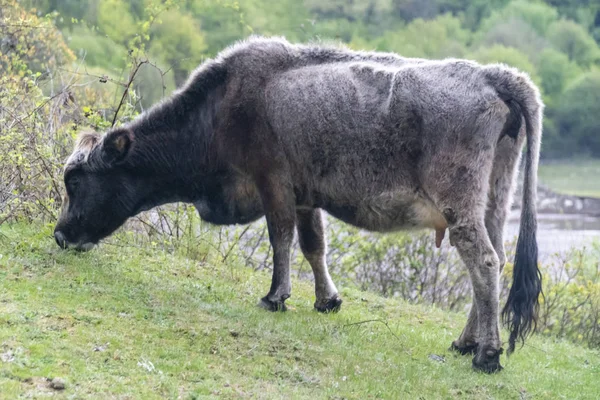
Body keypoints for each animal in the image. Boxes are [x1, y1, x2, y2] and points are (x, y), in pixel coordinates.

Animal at [55, 36, 544, 374]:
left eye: (75, 180)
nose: (60, 235)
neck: (220, 111)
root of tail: (495, 75)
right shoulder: (307, 191)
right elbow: (313, 245)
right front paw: (327, 300)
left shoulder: (273, 179)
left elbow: (281, 239)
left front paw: (276, 295)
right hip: (493, 198)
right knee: (495, 260)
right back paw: (466, 342)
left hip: (458, 198)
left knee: (483, 262)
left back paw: (487, 354)